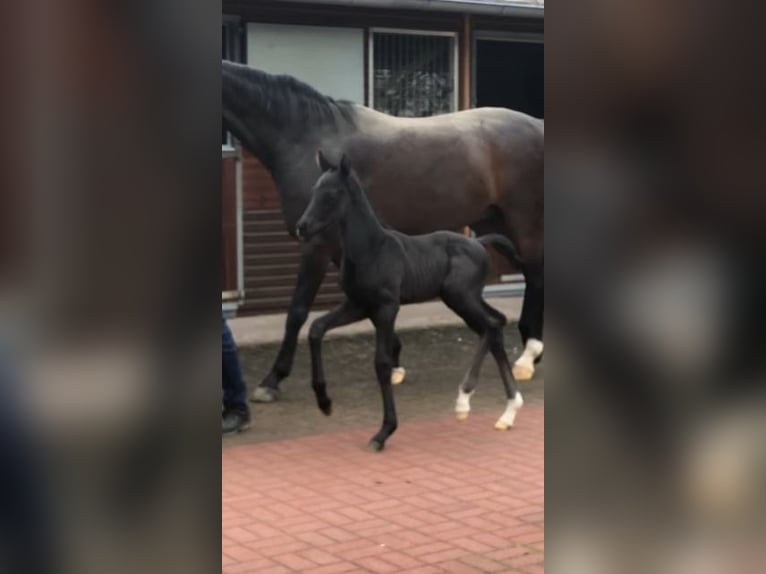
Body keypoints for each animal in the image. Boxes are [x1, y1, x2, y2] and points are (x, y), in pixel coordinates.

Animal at [296, 153, 524, 454]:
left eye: (331, 194)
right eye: (314, 191)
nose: (302, 227)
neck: (371, 250)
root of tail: (480, 243)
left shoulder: (386, 307)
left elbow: (382, 363)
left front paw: (383, 432)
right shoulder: (358, 305)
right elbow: (316, 328)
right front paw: (324, 402)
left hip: (460, 297)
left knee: (491, 325)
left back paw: (464, 399)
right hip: (467, 299)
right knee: (496, 325)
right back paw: (508, 412)